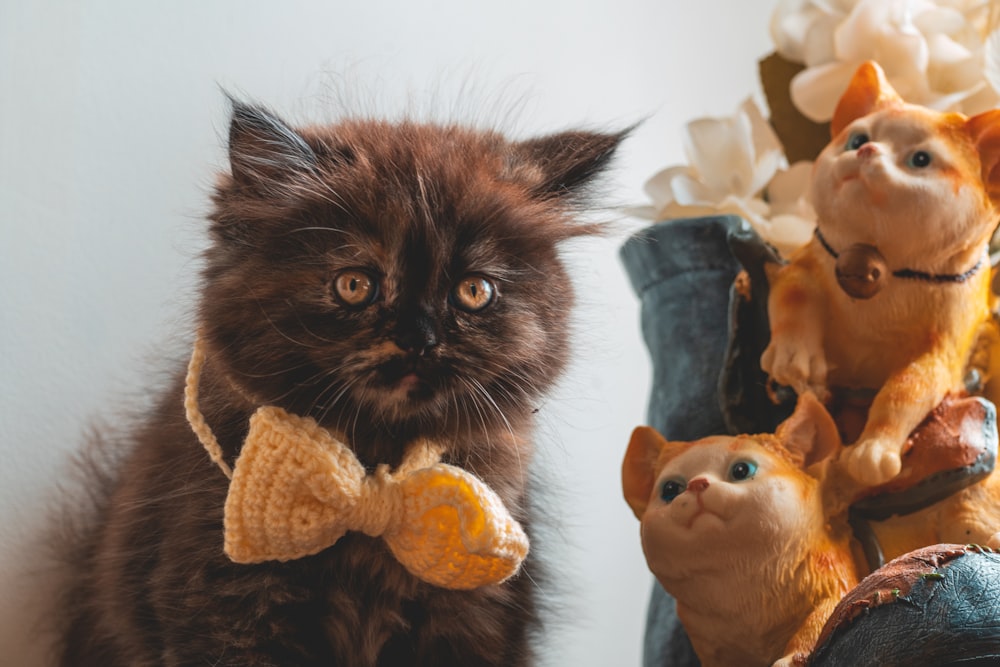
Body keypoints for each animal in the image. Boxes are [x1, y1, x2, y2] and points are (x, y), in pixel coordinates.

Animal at [58, 100, 624, 667]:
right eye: (355, 285)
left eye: (474, 291)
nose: (418, 339)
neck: (374, 465)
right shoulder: (220, 605)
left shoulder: (476, 613)